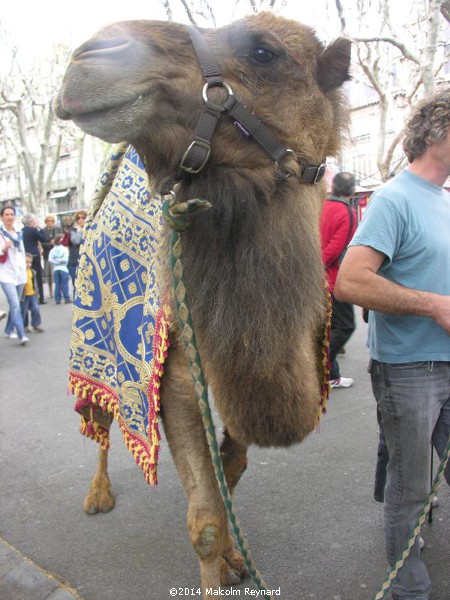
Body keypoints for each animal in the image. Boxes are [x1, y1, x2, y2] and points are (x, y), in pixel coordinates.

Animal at [54, 11, 352, 596]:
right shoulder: (177, 374)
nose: (90, 56)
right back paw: (98, 495)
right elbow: (206, 522)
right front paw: (221, 554)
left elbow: (229, 472)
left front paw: (239, 557)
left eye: (263, 52)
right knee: (98, 414)